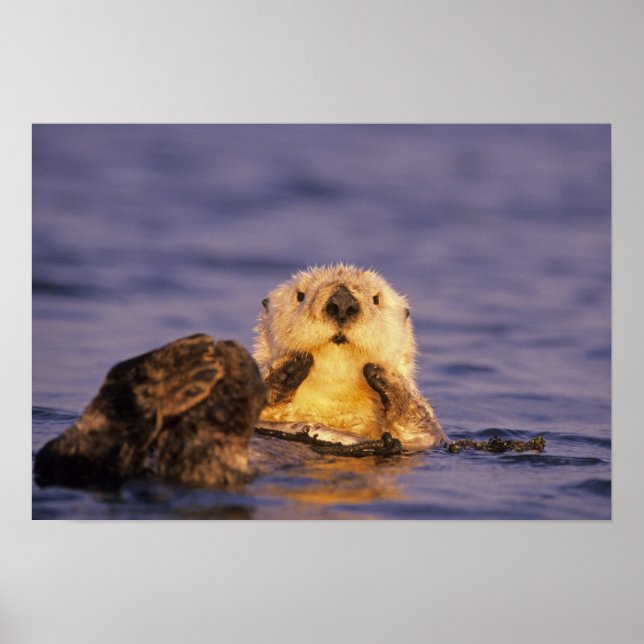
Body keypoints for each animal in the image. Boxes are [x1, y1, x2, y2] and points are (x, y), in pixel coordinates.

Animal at [254, 264, 446, 450]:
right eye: (300, 295)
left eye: (376, 299)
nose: (342, 303)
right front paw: (287, 368)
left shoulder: (420, 440)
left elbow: (425, 431)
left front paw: (385, 376)